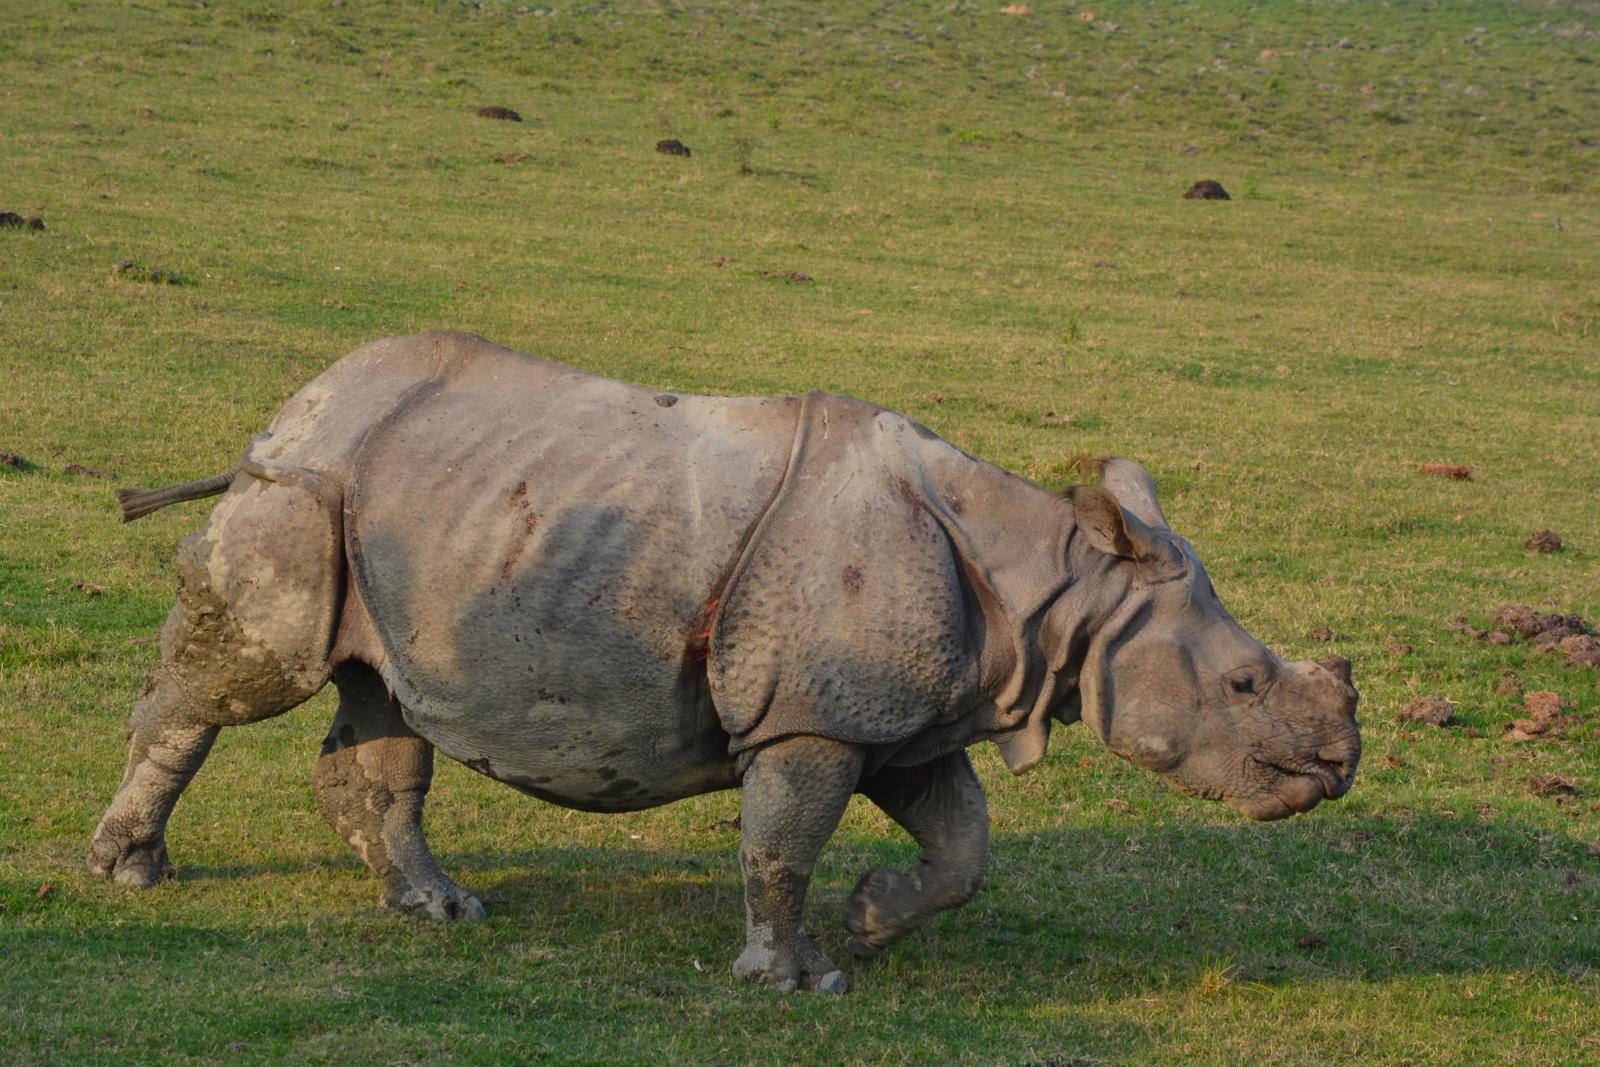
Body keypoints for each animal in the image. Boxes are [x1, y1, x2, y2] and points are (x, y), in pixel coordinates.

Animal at [89, 332, 1360, 993]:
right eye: (1244, 686)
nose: (1339, 767)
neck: (1063, 584)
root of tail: (293, 406)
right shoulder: (815, 717)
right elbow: (781, 842)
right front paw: (795, 979)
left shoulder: (898, 715)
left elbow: (963, 844)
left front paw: (873, 918)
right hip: (306, 487)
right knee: (245, 681)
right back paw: (129, 871)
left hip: (411, 505)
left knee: (383, 697)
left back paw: (439, 909)